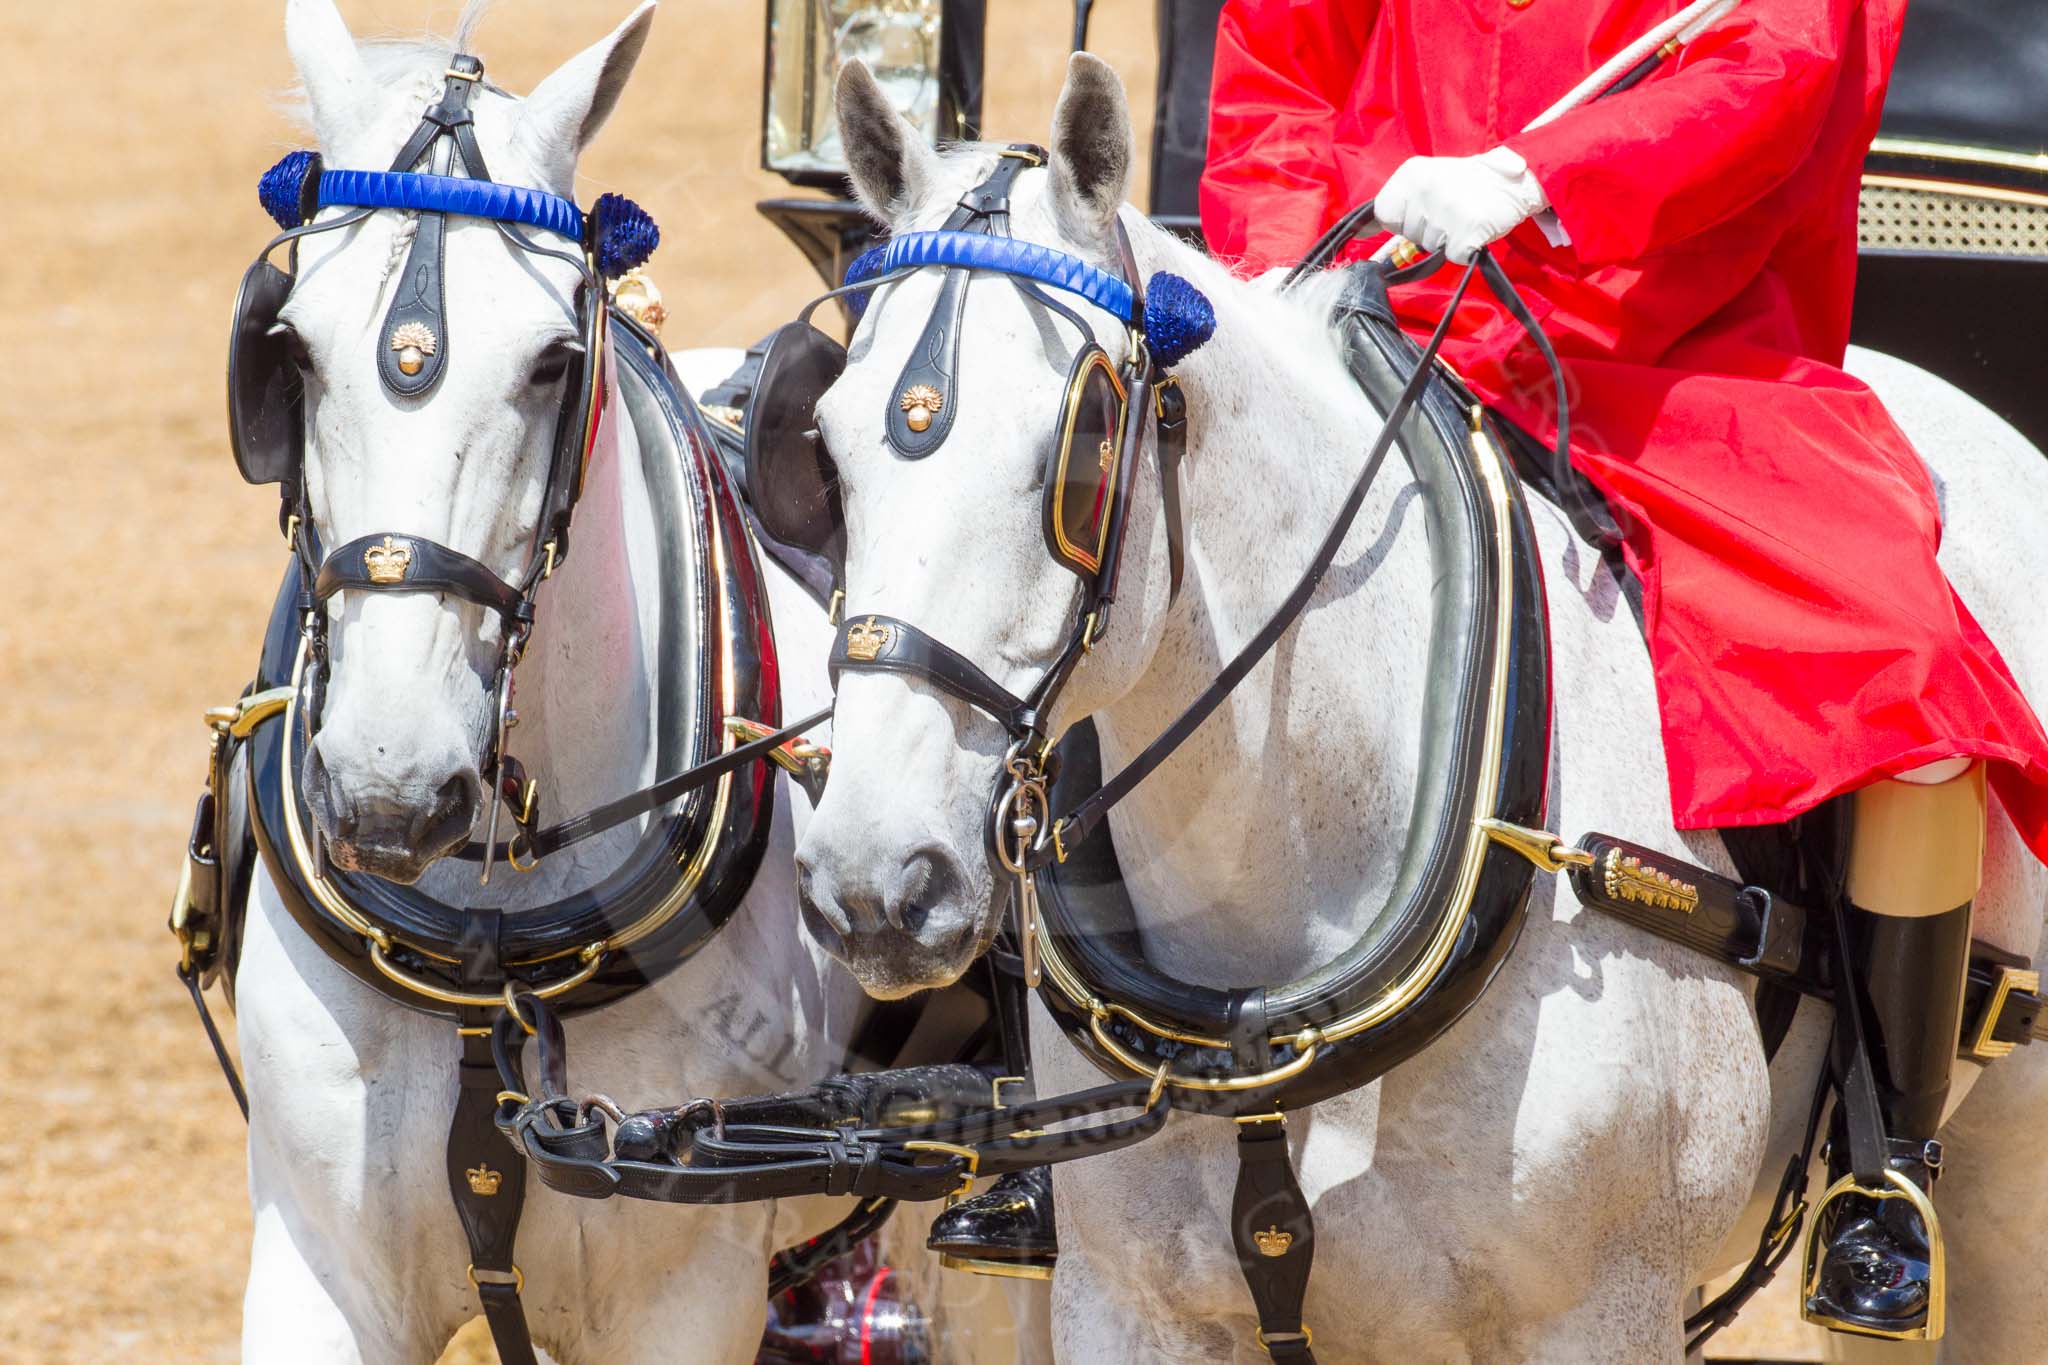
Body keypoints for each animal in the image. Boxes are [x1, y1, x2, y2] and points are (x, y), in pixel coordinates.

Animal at [227, 4, 1033, 1360]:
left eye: (556, 359)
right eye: (287, 348)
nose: (391, 787)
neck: (492, 953)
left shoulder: (681, 1296)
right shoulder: (317, 1267)